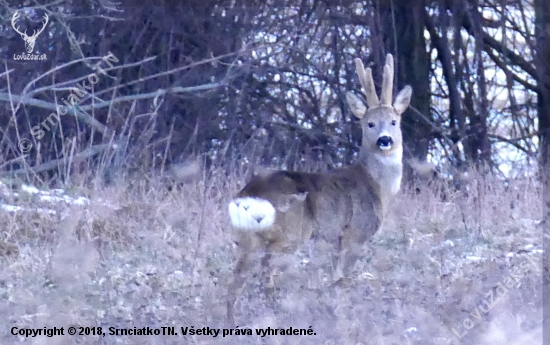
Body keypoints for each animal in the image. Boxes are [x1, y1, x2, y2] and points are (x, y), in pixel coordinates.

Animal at [226, 53, 412, 322]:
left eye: (394, 121)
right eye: (370, 123)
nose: (385, 140)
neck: (377, 187)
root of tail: (248, 196)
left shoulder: (336, 241)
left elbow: (335, 278)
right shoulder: (355, 233)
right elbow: (343, 280)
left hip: (245, 238)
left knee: (235, 282)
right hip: (290, 233)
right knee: (265, 270)